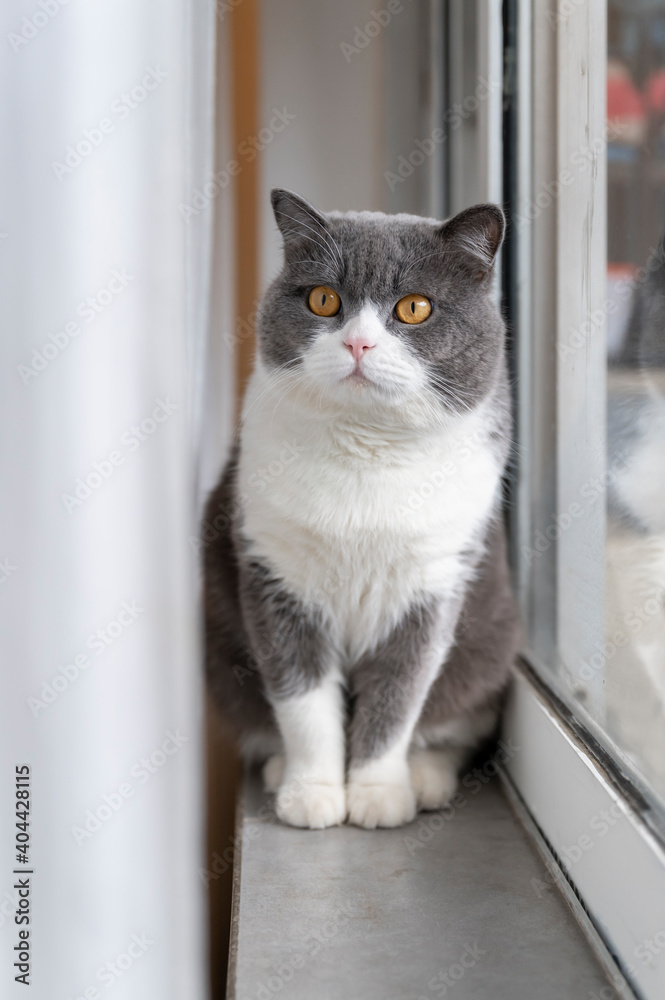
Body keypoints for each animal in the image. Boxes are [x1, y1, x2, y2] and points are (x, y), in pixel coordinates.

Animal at [202, 188, 520, 828]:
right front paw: (313, 792)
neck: (366, 451)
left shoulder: (434, 583)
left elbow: (399, 695)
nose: (358, 343)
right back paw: (279, 771)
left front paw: (377, 795)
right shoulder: (275, 573)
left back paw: (425, 778)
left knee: (455, 728)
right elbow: (301, 699)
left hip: (490, 650)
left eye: (415, 308)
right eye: (324, 300)